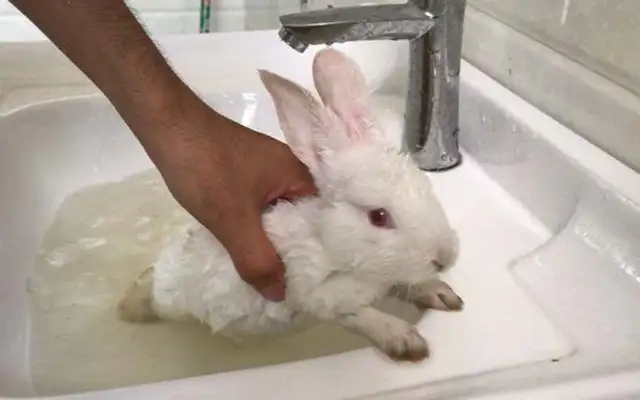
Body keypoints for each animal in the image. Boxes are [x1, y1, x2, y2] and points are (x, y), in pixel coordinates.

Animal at [117, 47, 463, 362]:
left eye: (425, 185)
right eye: (378, 216)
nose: (445, 258)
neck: (331, 244)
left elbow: (406, 283)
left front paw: (443, 294)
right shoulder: (318, 299)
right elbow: (360, 315)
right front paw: (407, 341)